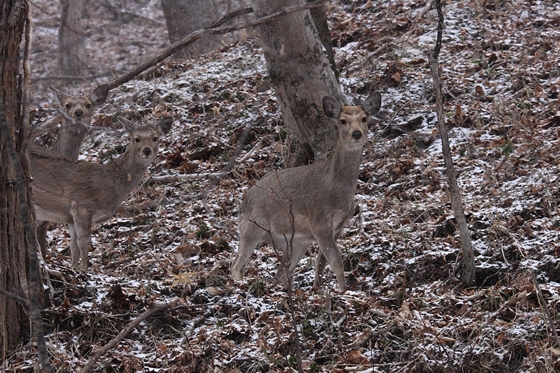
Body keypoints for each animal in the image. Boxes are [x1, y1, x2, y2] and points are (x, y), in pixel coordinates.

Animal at [28, 116, 172, 270]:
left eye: (155, 138)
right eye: (136, 139)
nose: (147, 150)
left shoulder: (70, 217)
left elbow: (73, 246)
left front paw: (74, 268)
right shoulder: (82, 206)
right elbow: (84, 244)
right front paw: (84, 270)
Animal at [231, 92, 380, 290]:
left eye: (364, 118)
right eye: (342, 121)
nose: (356, 134)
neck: (337, 190)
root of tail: (245, 200)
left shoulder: (339, 225)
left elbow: (321, 262)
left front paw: (317, 289)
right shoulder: (319, 221)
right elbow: (336, 261)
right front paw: (344, 291)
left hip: (295, 241)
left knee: (281, 272)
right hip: (252, 227)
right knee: (237, 265)